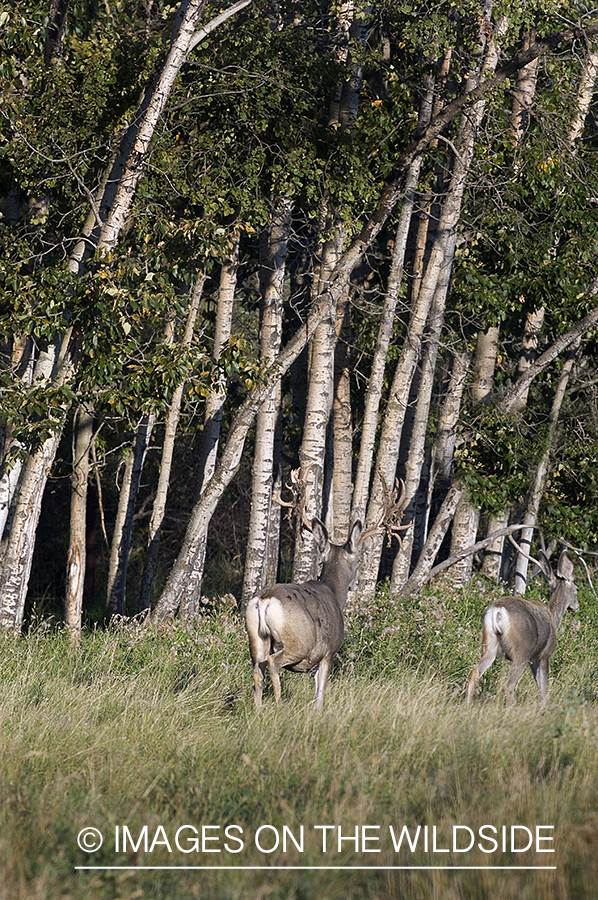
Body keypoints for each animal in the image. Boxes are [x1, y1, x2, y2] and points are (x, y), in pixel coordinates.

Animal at [246, 468, 410, 708]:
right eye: (358, 561)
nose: (355, 584)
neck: (333, 592)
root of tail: (264, 600)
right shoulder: (328, 652)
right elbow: (320, 695)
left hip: (256, 639)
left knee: (258, 671)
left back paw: (258, 711)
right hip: (297, 642)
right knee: (274, 663)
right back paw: (278, 704)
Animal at [468, 552, 580, 708]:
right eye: (577, 590)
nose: (577, 606)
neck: (553, 617)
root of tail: (497, 610)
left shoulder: (534, 660)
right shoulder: (544, 655)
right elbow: (543, 692)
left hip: (489, 643)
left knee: (475, 672)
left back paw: (466, 705)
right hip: (522, 651)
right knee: (508, 685)